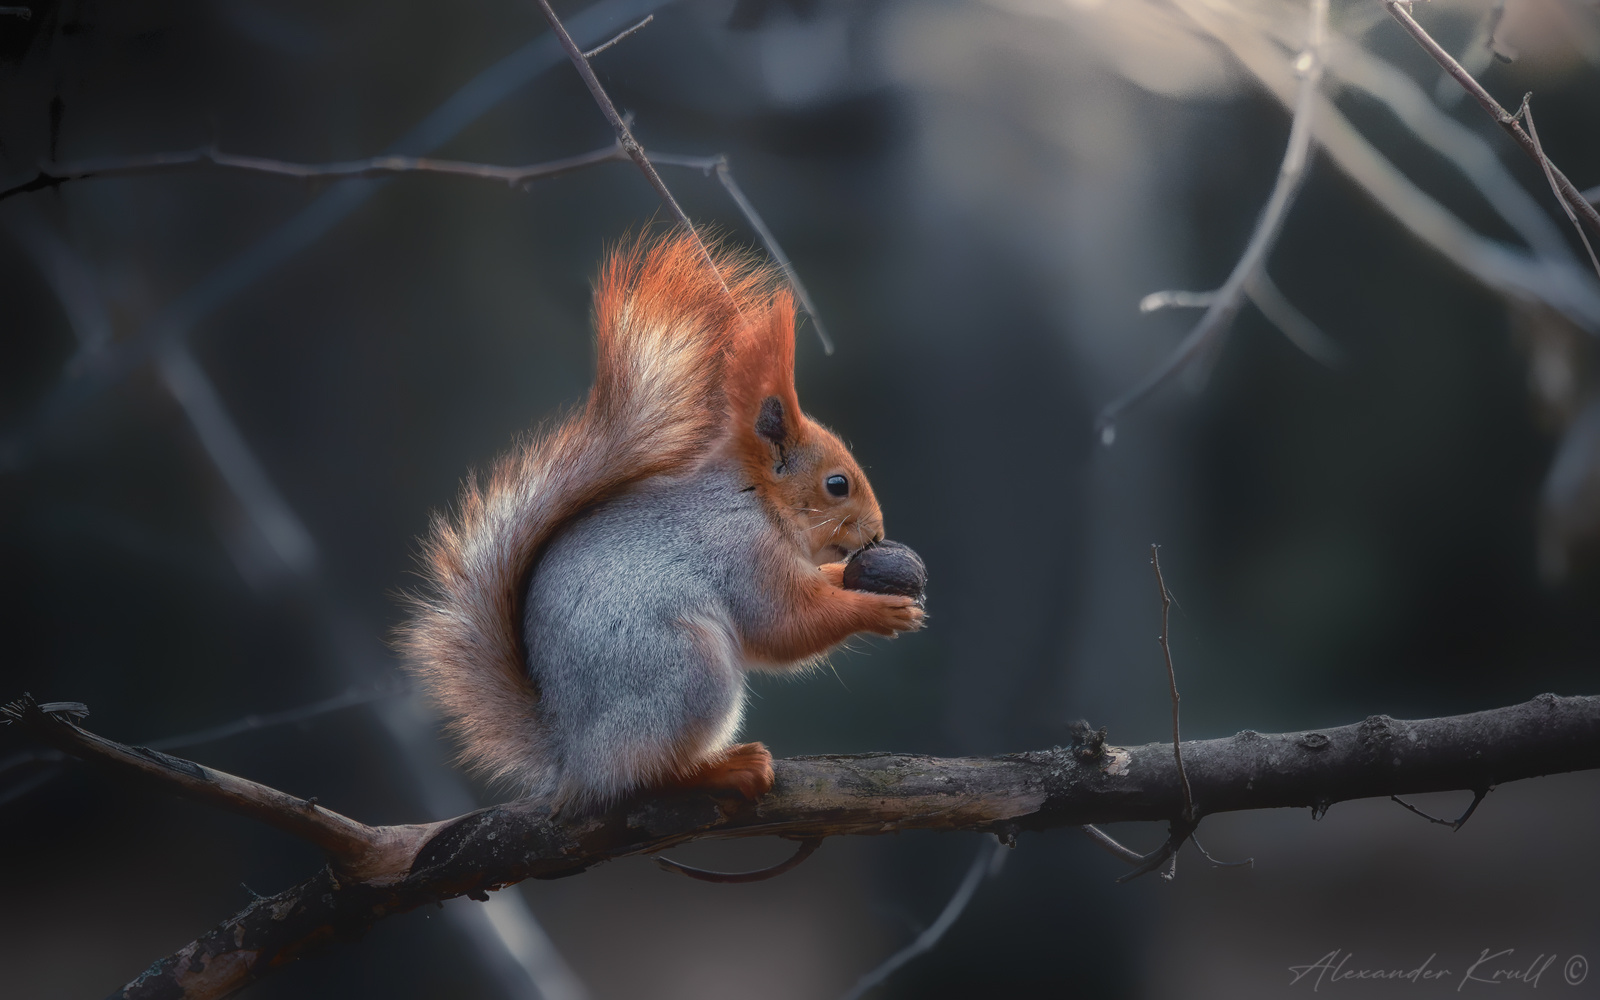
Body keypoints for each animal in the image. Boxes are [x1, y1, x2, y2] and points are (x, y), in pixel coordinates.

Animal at [400, 232, 923, 810]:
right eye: (837, 485)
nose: (877, 534)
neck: (757, 500)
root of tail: (575, 759)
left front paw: (847, 580)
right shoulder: (742, 551)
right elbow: (787, 624)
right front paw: (879, 610)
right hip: (687, 672)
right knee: (646, 774)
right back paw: (724, 768)